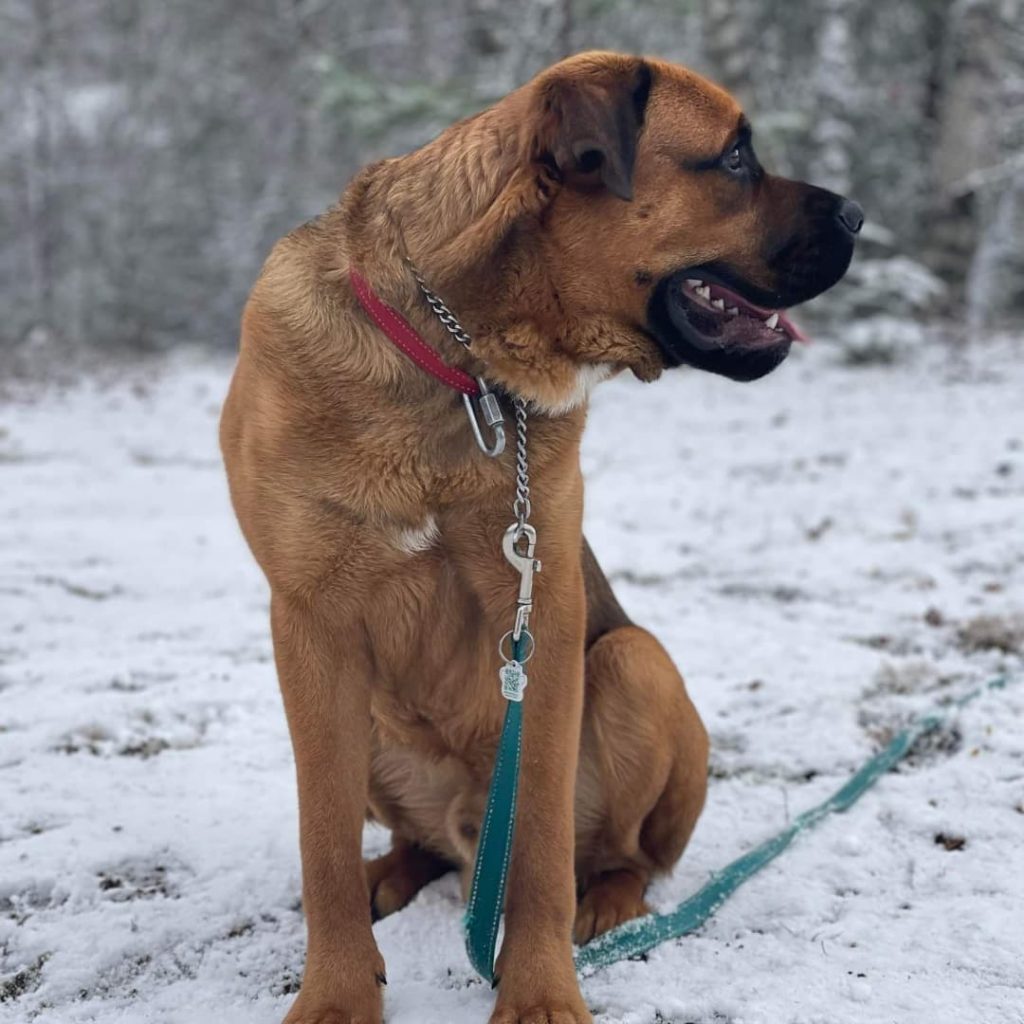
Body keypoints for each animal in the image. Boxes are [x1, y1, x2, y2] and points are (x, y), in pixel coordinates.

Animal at [220, 49, 860, 1024]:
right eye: (735, 157)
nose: (861, 215)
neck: (458, 365)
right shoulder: (311, 627)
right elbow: (320, 840)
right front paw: (337, 993)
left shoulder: (545, 612)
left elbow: (542, 848)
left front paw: (541, 992)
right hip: (372, 718)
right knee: (419, 847)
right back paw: (391, 872)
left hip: (636, 664)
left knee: (621, 854)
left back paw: (610, 904)